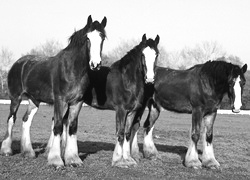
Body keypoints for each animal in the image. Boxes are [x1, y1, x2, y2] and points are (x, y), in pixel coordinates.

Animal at [0, 14, 106, 167]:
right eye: (88, 38)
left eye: (102, 38)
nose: (95, 64)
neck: (72, 69)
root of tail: (18, 63)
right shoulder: (60, 101)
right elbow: (58, 126)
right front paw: (55, 160)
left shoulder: (77, 102)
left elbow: (72, 127)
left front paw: (73, 159)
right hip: (15, 98)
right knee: (11, 119)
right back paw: (6, 150)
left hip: (34, 101)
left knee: (26, 120)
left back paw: (28, 153)